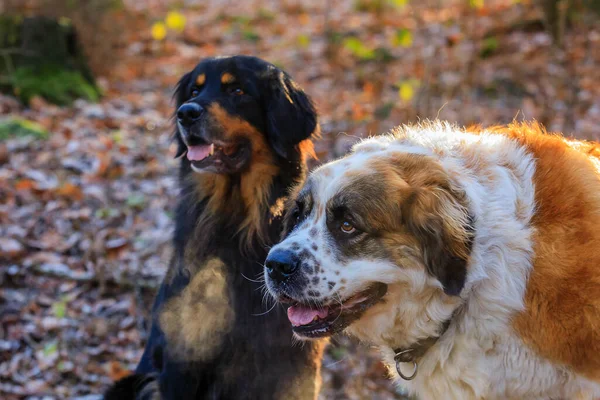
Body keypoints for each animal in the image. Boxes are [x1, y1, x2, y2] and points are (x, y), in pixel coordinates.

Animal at [105, 54, 326, 398]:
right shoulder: (184, 355)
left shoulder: (297, 356)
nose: (186, 113)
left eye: (236, 90)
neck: (235, 224)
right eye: (194, 91)